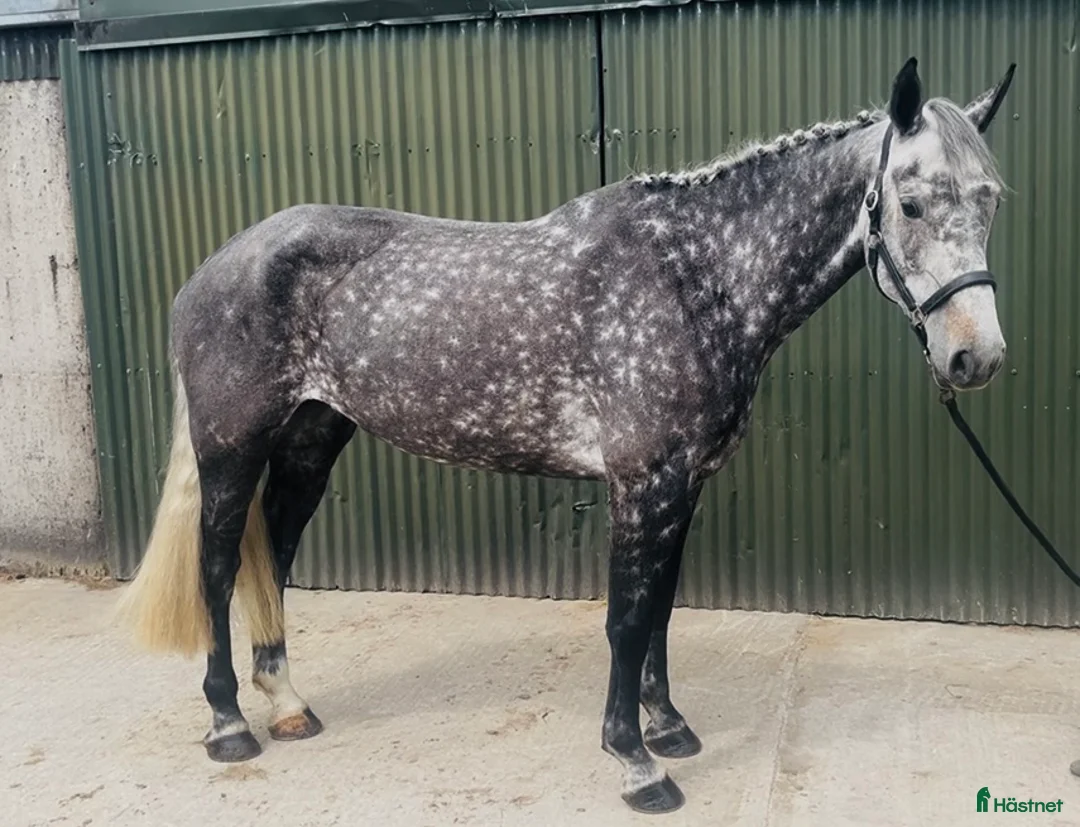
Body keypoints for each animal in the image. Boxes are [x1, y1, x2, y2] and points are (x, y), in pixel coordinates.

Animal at [116, 56, 1016, 814]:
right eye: (911, 202)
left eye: (990, 200)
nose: (975, 357)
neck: (696, 274)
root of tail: (213, 268)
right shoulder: (642, 483)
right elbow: (626, 617)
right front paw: (636, 762)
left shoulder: (683, 483)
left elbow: (660, 609)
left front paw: (668, 726)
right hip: (232, 448)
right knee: (218, 565)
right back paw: (229, 724)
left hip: (311, 442)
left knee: (273, 553)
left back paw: (288, 702)